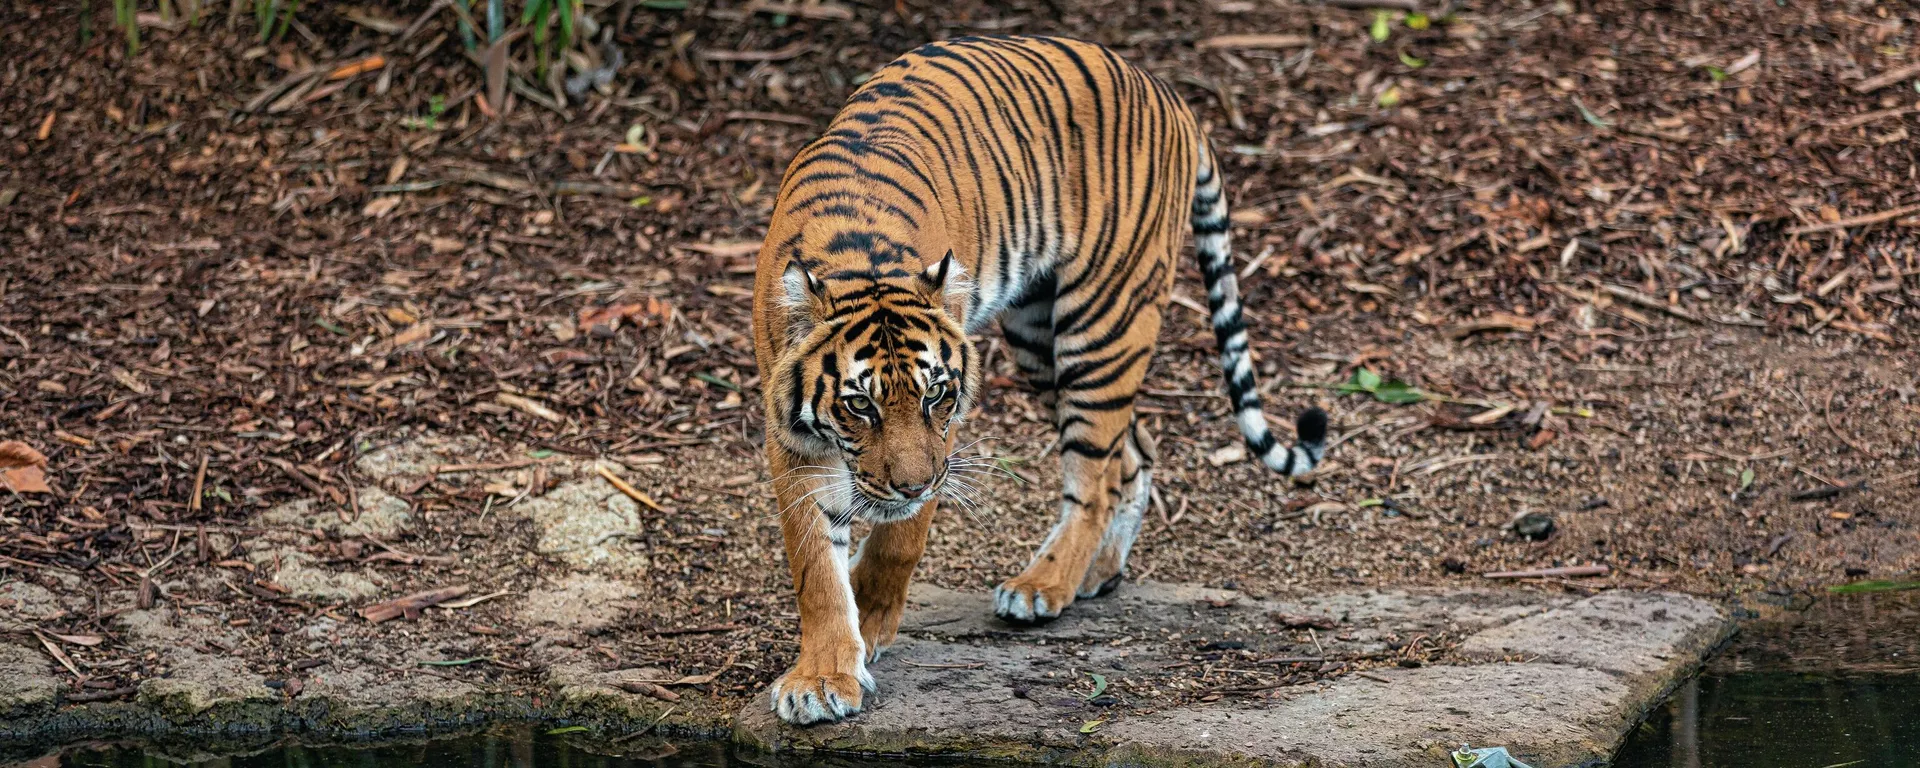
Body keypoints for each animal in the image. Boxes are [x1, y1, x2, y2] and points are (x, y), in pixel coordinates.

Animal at [756, 33, 1328, 725]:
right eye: (859, 406)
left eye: (935, 395)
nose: (912, 484)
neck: (858, 261)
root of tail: (1169, 94)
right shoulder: (792, 438)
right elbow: (815, 567)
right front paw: (823, 675)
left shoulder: (944, 437)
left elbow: (899, 540)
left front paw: (869, 623)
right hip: (1038, 338)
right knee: (1132, 451)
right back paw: (1097, 572)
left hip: (1103, 323)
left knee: (1094, 475)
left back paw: (1043, 585)